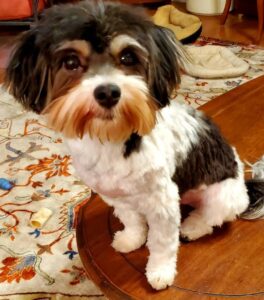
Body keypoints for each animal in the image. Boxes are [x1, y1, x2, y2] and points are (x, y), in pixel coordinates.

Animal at [4, 0, 264, 290]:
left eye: (128, 57)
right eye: (71, 62)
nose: (108, 92)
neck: (111, 139)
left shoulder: (163, 202)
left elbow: (162, 243)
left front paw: (160, 272)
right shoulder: (117, 195)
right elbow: (132, 220)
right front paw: (131, 239)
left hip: (223, 195)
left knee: (212, 217)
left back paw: (192, 227)